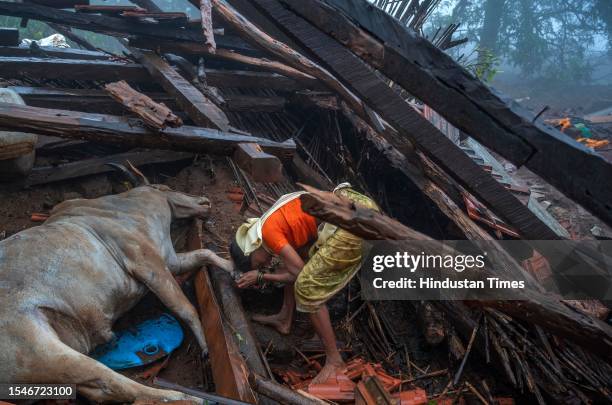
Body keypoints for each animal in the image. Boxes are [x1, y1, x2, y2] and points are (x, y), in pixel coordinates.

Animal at [0, 167, 233, 400]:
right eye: (168, 187)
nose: (205, 200)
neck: (129, 204)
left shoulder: (170, 261)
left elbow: (205, 253)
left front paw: (232, 268)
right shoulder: (147, 262)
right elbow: (186, 308)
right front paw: (206, 347)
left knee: (100, 389)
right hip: (43, 350)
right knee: (118, 384)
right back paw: (184, 397)